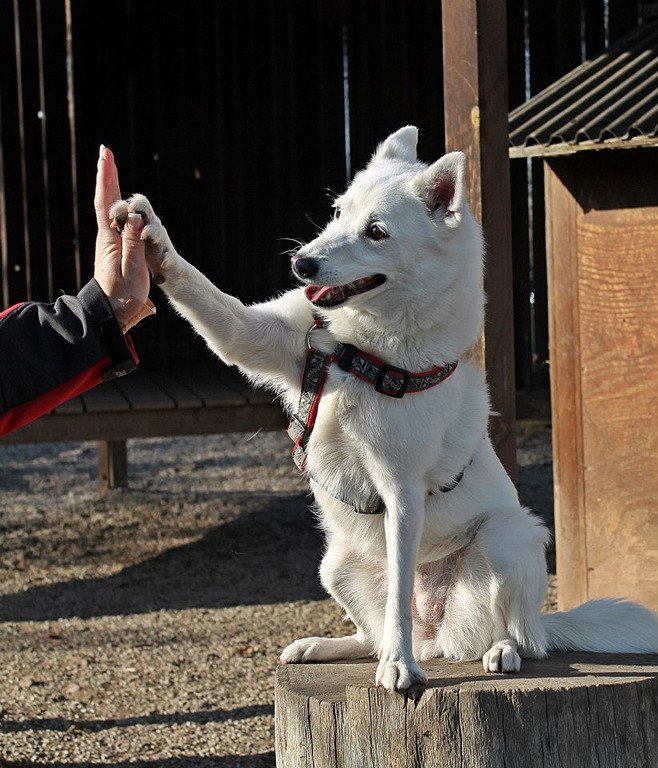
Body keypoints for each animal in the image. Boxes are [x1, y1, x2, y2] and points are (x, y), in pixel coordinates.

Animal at [112, 126, 658, 690]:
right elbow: (203, 293)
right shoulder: (257, 338)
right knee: (371, 633)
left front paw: (399, 665)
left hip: (510, 537)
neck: (361, 350)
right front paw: (151, 240)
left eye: (376, 232)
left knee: (526, 636)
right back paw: (330, 645)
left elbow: (397, 594)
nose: (301, 264)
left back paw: (495, 650)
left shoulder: (402, 493)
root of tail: (437, 634)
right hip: (334, 564)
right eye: (337, 211)